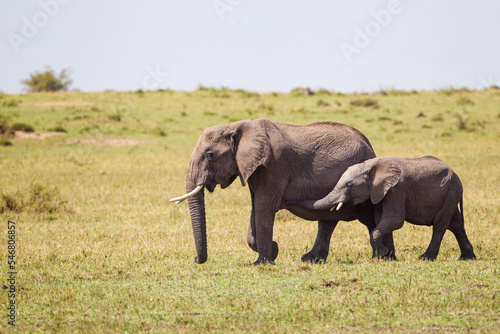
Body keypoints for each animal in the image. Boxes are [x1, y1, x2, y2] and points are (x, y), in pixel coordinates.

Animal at [172, 118, 394, 264]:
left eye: (210, 155)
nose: (196, 259)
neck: (237, 127)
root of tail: (370, 146)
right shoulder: (255, 169)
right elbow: (256, 208)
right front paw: (273, 250)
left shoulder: (273, 166)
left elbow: (264, 208)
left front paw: (263, 261)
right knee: (327, 220)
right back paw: (310, 260)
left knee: (371, 219)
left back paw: (384, 258)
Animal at [296, 157, 476, 260]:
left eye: (349, 185)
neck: (370, 166)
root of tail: (456, 174)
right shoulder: (380, 192)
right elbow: (380, 220)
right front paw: (383, 255)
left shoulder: (397, 190)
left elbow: (394, 220)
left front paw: (381, 254)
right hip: (450, 194)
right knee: (456, 224)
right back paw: (467, 258)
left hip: (451, 190)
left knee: (440, 224)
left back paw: (426, 258)